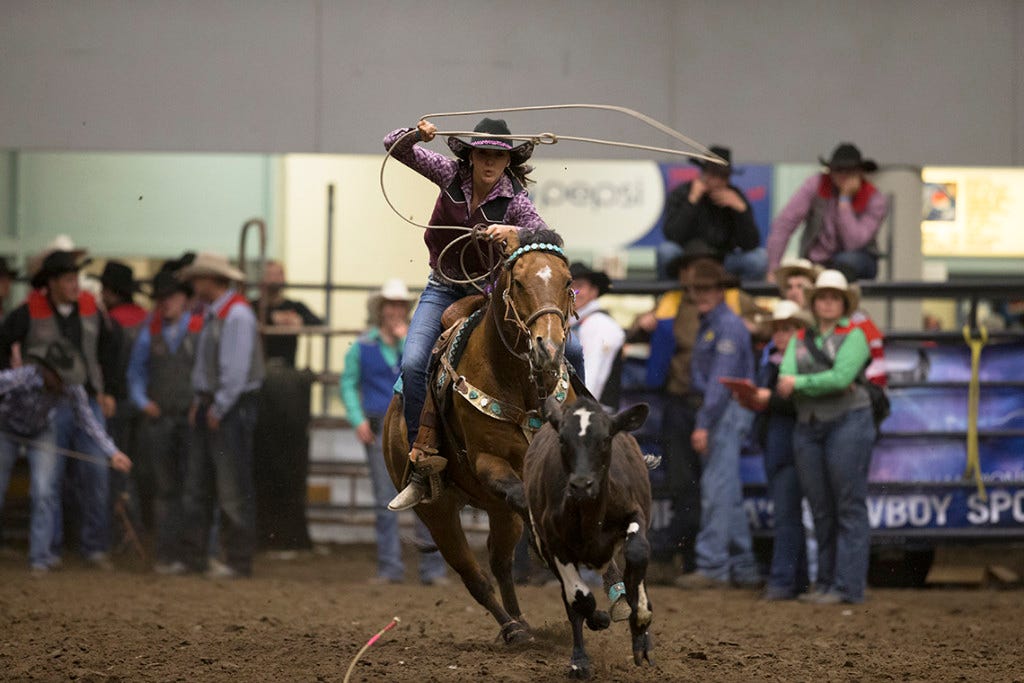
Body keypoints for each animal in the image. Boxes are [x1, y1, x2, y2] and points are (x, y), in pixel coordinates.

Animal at [385, 228, 577, 643]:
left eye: (567, 281)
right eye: (518, 282)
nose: (549, 348)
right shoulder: (490, 462)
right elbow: (521, 495)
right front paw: (544, 547)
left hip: (497, 510)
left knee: (499, 561)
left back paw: (522, 621)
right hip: (438, 511)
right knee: (474, 575)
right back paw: (512, 628)